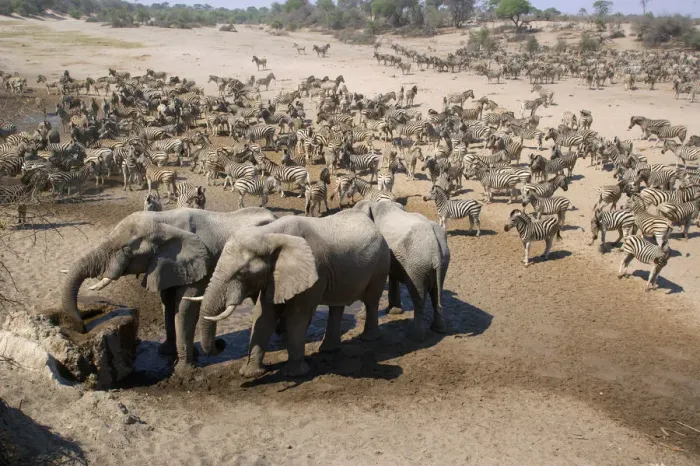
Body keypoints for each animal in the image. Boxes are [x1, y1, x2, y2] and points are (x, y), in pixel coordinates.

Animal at [61, 207, 277, 372]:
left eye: (127, 249)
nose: (82, 328)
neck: (162, 220)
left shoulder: (200, 265)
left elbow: (184, 307)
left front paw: (183, 371)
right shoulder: (169, 266)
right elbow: (166, 301)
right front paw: (167, 353)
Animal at [187, 209, 391, 378]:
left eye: (242, 273)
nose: (221, 343)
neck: (269, 235)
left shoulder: (314, 271)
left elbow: (297, 316)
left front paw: (294, 374)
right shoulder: (274, 276)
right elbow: (263, 315)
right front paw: (250, 374)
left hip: (381, 263)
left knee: (371, 301)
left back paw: (369, 338)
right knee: (337, 306)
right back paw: (328, 350)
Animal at [354, 201, 450, 340]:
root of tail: (435, 246)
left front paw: (362, 316)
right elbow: (393, 275)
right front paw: (394, 312)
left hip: (416, 264)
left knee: (418, 297)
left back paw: (415, 336)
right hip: (442, 261)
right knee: (437, 294)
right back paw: (439, 330)